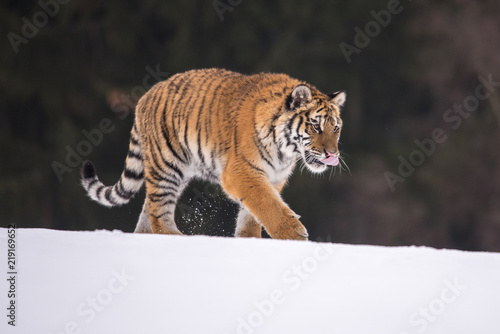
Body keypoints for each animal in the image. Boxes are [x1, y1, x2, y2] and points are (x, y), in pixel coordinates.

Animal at [81, 68, 348, 240]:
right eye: (316, 126)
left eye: (335, 128)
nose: (332, 154)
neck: (285, 151)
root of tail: (145, 97)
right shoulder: (241, 172)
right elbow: (267, 204)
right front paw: (295, 235)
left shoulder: (274, 177)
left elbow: (253, 213)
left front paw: (249, 239)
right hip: (167, 165)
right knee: (159, 213)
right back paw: (180, 238)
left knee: (149, 211)